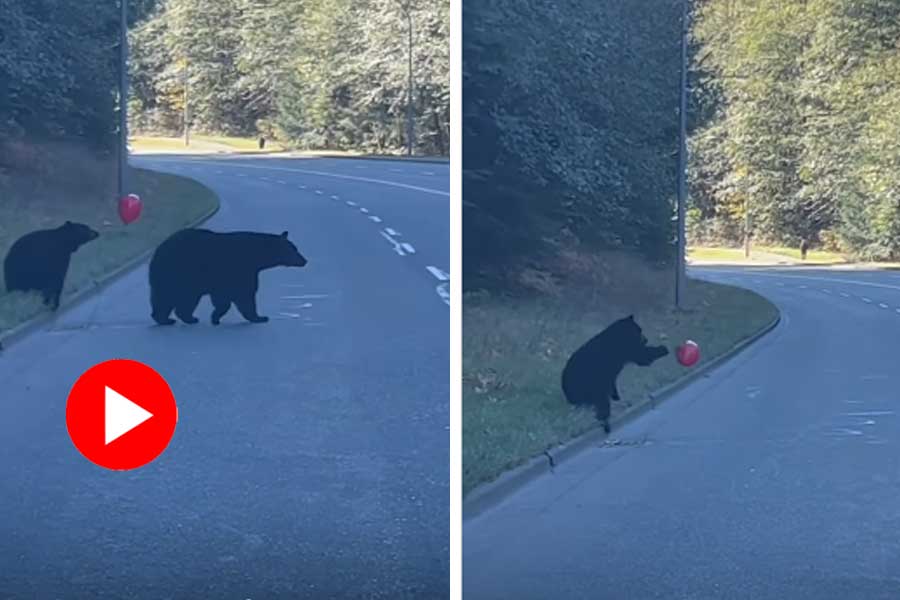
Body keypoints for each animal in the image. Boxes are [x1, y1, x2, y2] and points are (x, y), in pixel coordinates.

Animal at [150, 227, 310, 326]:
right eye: (293, 249)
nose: (304, 260)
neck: (256, 256)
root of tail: (157, 250)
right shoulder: (239, 270)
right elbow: (244, 294)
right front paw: (259, 317)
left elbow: (225, 297)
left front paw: (215, 317)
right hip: (179, 274)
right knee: (176, 298)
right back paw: (178, 319)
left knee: (168, 298)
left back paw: (172, 318)